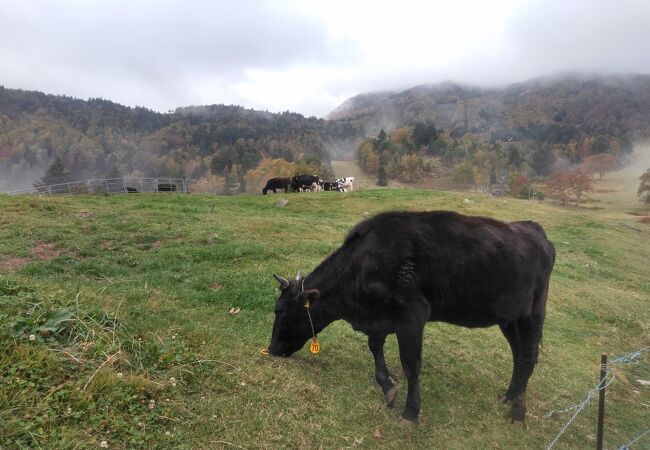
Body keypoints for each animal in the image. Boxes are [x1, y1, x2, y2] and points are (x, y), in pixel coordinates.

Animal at [266, 211, 556, 426]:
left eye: (282, 312)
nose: (271, 350)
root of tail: (533, 228)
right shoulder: (380, 317)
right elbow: (375, 347)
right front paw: (388, 388)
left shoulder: (412, 314)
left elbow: (410, 363)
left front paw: (411, 413)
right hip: (509, 318)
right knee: (520, 356)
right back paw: (509, 397)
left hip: (533, 312)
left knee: (527, 357)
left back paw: (518, 413)